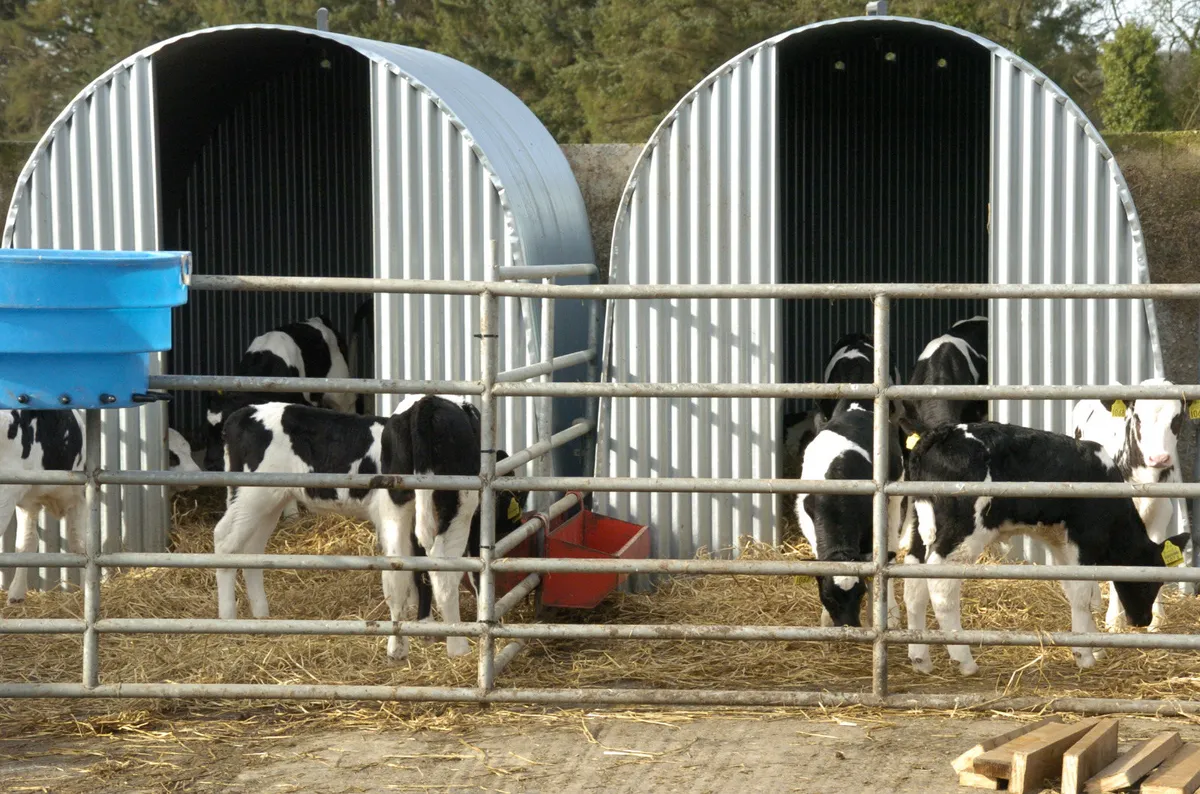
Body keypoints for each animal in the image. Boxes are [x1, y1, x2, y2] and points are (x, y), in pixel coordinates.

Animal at [213, 395, 528, 662]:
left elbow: (416, 571)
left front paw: (422, 624)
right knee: (225, 540)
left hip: (269, 500)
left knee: (252, 550)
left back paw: (260, 615)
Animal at [902, 422, 1185, 676]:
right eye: (1149, 582)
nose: (1143, 620)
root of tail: (944, 432)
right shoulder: (1083, 539)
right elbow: (1083, 593)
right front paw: (1084, 654)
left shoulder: (1059, 543)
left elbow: (1074, 590)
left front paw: (1093, 643)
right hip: (962, 531)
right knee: (941, 584)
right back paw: (964, 660)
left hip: (921, 526)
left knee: (914, 579)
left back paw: (920, 657)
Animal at [1080, 376, 1190, 633]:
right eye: (1137, 417)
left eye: (1177, 418)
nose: (1159, 458)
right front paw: (1115, 620)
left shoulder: (1161, 514)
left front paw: (1157, 618)